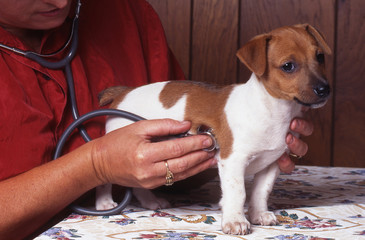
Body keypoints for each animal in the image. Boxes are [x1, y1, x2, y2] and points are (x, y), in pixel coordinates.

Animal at [96, 23, 330, 234]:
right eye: (288, 66)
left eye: (320, 57)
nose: (324, 89)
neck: (272, 110)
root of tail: (124, 92)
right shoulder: (232, 161)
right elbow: (238, 193)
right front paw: (235, 221)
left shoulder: (271, 163)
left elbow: (260, 192)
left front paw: (258, 214)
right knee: (105, 178)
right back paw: (105, 203)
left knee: (138, 184)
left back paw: (150, 201)